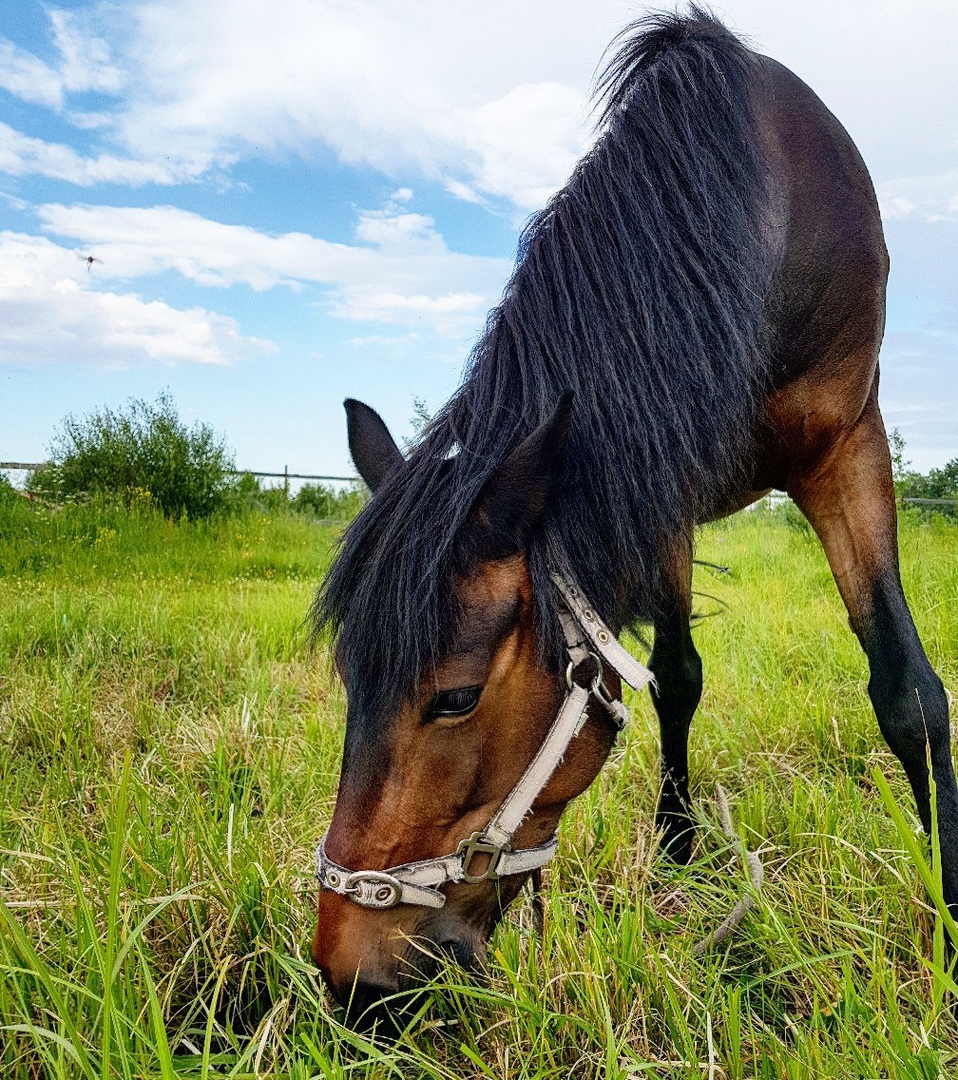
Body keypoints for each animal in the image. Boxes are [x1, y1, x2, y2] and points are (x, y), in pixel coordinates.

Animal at [311, 10, 954, 1036]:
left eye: (454, 697)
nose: (351, 983)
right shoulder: (657, 483)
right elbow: (676, 679)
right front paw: (680, 853)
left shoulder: (848, 442)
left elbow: (910, 695)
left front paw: (950, 919)